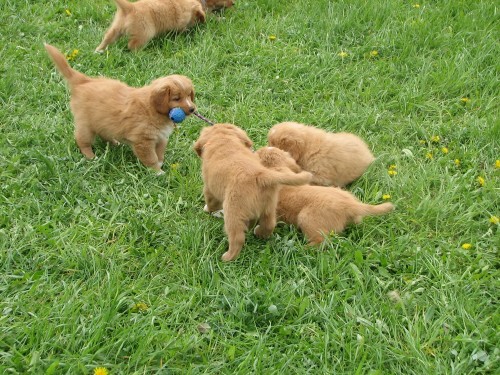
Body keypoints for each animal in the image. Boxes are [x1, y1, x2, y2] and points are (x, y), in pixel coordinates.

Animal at [44, 43, 195, 173]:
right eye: (176, 98)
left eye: (189, 95)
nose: (192, 109)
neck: (153, 110)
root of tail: (84, 81)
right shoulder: (143, 141)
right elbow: (151, 158)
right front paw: (157, 172)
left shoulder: (161, 138)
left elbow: (159, 154)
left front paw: (160, 164)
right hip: (85, 124)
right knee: (82, 140)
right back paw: (90, 156)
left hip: (103, 121)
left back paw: (115, 143)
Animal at [95, 0, 234, 51]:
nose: (234, 4)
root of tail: (129, 7)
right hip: (145, 32)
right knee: (132, 45)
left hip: (116, 28)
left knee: (107, 37)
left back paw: (98, 50)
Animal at [192, 123, 312, 262]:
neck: (223, 139)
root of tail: (261, 175)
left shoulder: (209, 187)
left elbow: (211, 201)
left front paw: (207, 209)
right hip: (268, 207)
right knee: (269, 225)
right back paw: (258, 232)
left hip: (233, 212)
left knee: (237, 238)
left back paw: (227, 257)